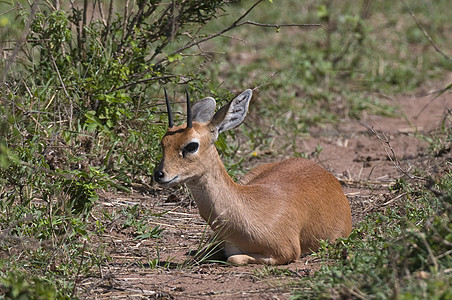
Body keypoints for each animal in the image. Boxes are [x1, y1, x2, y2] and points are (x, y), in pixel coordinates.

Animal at [154, 88, 354, 264]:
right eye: (163, 142)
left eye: (191, 145)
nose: (159, 174)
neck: (247, 213)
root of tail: (325, 172)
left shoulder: (287, 253)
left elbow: (234, 258)